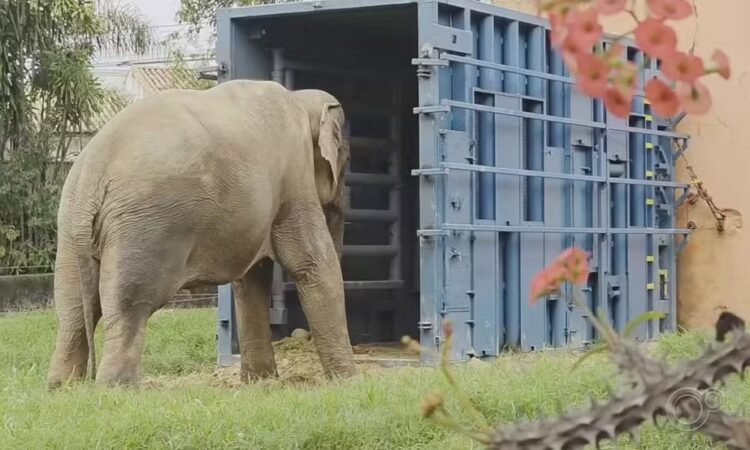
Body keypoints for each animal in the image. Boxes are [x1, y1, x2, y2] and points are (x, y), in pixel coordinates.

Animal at [46, 79, 357, 387]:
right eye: (345, 160)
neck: (299, 99)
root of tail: (91, 175)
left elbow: (251, 278)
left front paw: (259, 382)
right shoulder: (294, 175)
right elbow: (311, 262)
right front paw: (348, 382)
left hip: (70, 228)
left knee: (72, 310)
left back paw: (61, 387)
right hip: (143, 227)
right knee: (128, 306)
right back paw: (117, 389)